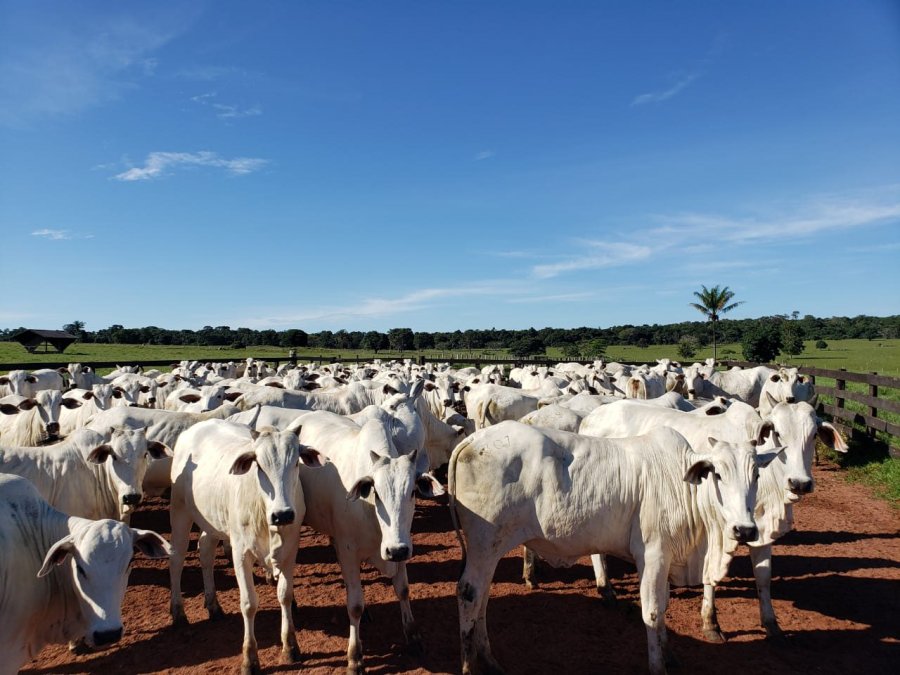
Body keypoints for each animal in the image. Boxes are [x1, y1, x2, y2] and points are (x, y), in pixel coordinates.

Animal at [169, 420, 324, 672]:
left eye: (295, 463)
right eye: (259, 465)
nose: (283, 514)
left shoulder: (290, 550)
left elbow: (285, 595)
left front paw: (290, 647)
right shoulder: (240, 553)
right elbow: (249, 604)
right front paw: (250, 659)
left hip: (212, 521)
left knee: (205, 550)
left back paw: (213, 605)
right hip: (180, 510)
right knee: (176, 559)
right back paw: (178, 612)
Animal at [450, 422, 780, 675]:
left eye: (756, 475)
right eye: (718, 474)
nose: (745, 530)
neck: (684, 485)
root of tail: (472, 440)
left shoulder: (666, 557)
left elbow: (663, 606)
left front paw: (669, 655)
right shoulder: (652, 554)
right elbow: (652, 612)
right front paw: (658, 665)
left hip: (491, 548)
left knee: (483, 597)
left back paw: (489, 660)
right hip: (484, 543)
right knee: (469, 593)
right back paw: (469, 665)